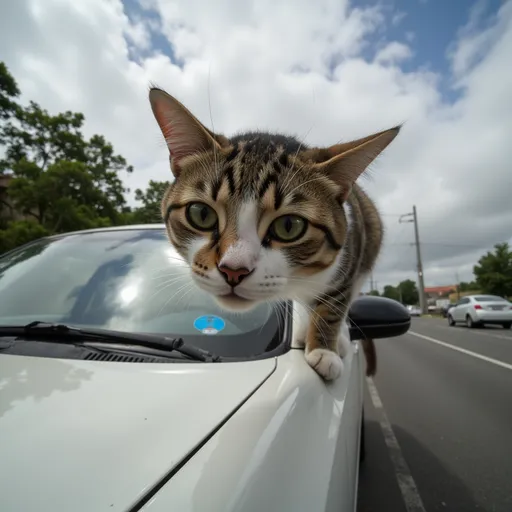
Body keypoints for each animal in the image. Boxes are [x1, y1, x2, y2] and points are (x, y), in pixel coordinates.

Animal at [148, 86, 400, 380]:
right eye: (201, 214)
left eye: (289, 226)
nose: (233, 271)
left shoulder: (351, 257)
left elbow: (335, 304)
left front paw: (324, 350)